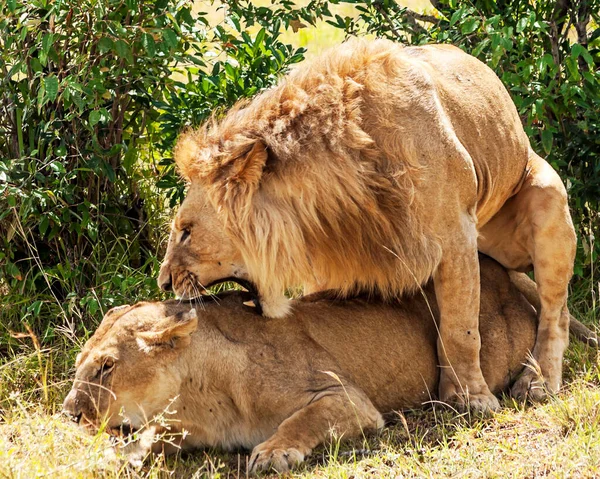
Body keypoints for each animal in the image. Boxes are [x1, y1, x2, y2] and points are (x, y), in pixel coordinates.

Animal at [63, 258, 592, 472]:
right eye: (80, 364)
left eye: (106, 367)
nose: (69, 413)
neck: (197, 393)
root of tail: (503, 272)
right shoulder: (181, 427)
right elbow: (150, 436)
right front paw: (116, 456)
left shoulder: (347, 399)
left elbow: (302, 419)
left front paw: (273, 452)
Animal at [158, 38, 576, 412]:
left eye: (187, 231)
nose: (163, 283)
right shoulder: (334, 261)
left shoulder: (456, 236)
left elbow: (461, 330)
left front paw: (470, 398)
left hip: (545, 198)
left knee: (556, 315)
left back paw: (538, 382)